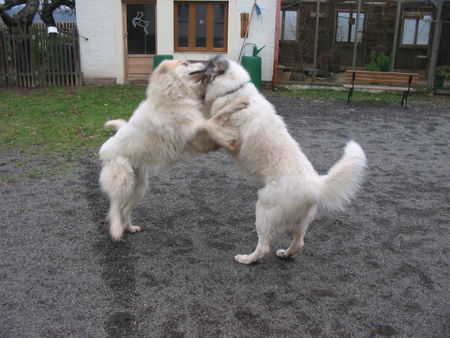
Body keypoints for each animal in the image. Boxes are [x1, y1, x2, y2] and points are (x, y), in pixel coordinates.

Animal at [191, 56, 370, 264]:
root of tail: (316, 186)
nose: (190, 64)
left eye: (206, 64)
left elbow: (210, 124)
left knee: (263, 248)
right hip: (298, 221)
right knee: (299, 243)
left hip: (263, 209)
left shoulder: (225, 133)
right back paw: (285, 254)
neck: (233, 90)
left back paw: (246, 259)